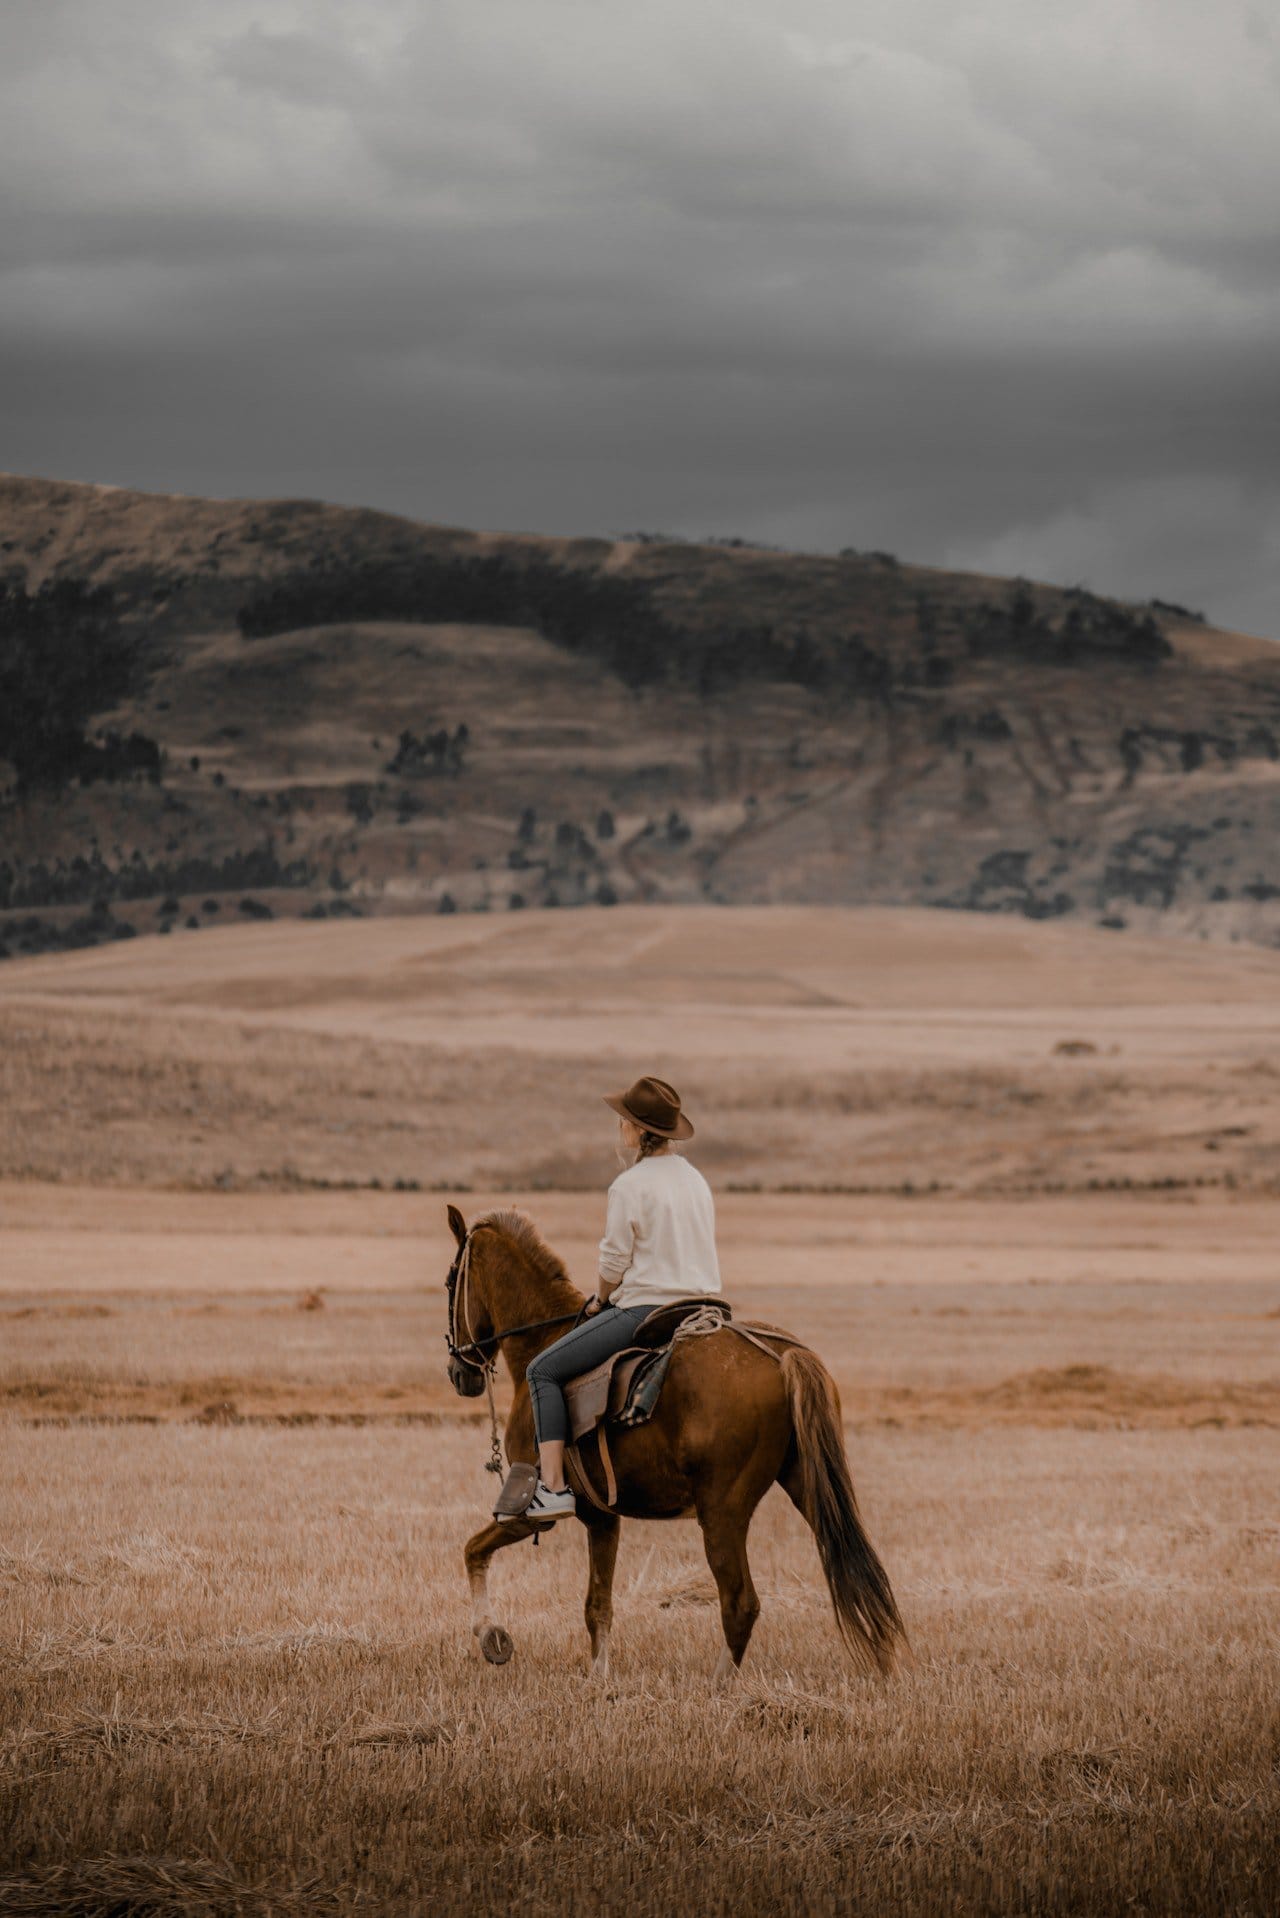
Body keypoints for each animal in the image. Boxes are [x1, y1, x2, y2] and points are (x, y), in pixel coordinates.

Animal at [445, 1204, 905, 1687]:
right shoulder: (602, 1518)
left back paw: (719, 1685)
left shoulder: (530, 1513)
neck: (541, 1340)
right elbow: (598, 1607)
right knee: (859, 1571)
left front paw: (490, 1635)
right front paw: (598, 1678)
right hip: (809, 1488)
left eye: (450, 1281)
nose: (460, 1372)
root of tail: (781, 1356)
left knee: (740, 1602)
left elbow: (473, 1550)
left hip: (722, 1512)